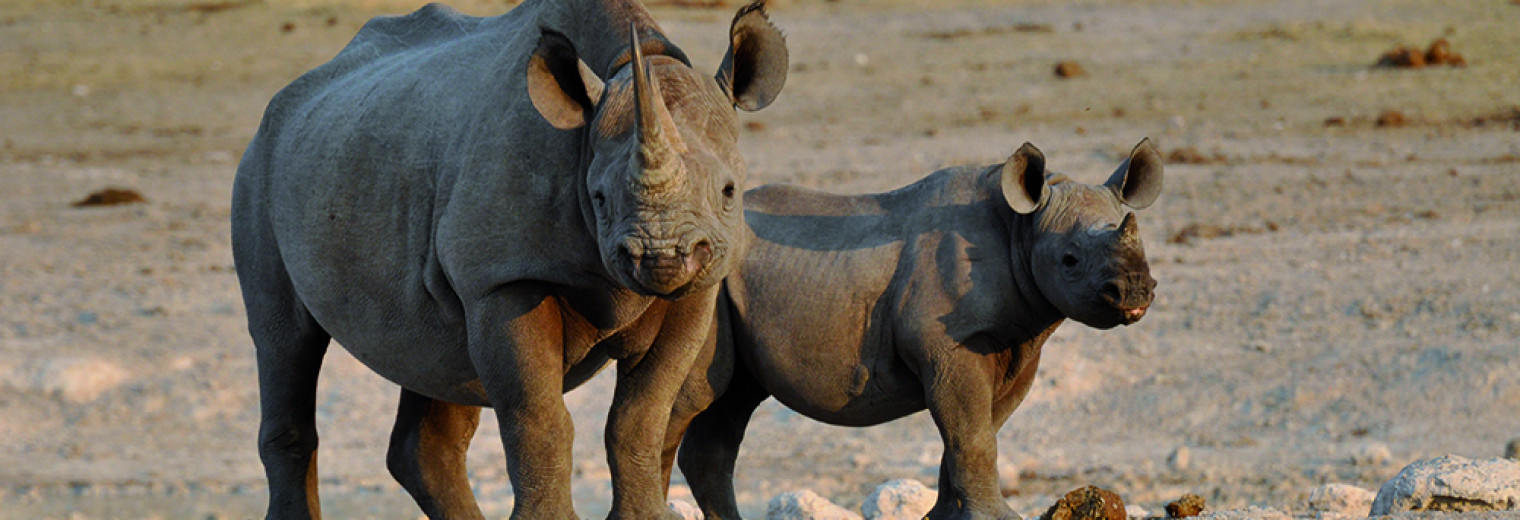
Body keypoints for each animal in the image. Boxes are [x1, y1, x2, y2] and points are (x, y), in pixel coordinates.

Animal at [231, 2, 790, 516]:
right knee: (284, 338)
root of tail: (286, 98)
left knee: (435, 362)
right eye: (599, 198)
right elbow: (539, 419)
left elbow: (641, 417)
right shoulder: (504, 281)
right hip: (259, 168)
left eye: (729, 191)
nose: (663, 257)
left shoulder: (696, 292)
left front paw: (644, 516)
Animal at [677, 139, 1161, 520]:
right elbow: (973, 434)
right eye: (1069, 260)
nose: (1136, 290)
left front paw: (946, 516)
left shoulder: (1019, 348)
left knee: (730, 401)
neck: (1021, 229)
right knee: (691, 395)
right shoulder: (950, 344)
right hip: (702, 280)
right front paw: (995, 516)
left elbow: (976, 432)